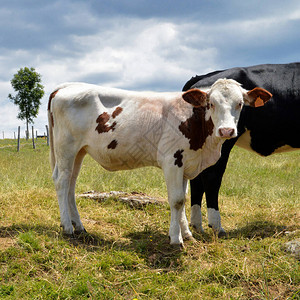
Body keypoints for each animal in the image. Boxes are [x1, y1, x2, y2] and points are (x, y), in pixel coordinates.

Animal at [47, 79, 272, 246]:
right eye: (211, 104)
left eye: (240, 104)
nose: (226, 130)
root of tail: (65, 86)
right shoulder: (172, 160)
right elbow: (177, 200)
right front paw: (176, 239)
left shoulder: (186, 165)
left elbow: (184, 200)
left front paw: (187, 234)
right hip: (66, 147)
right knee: (61, 181)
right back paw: (68, 227)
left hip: (79, 151)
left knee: (71, 184)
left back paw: (79, 225)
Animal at [182, 63, 300, 237]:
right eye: (211, 104)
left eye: (240, 103)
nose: (226, 130)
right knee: (212, 176)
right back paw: (217, 226)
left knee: (197, 178)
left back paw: (197, 225)